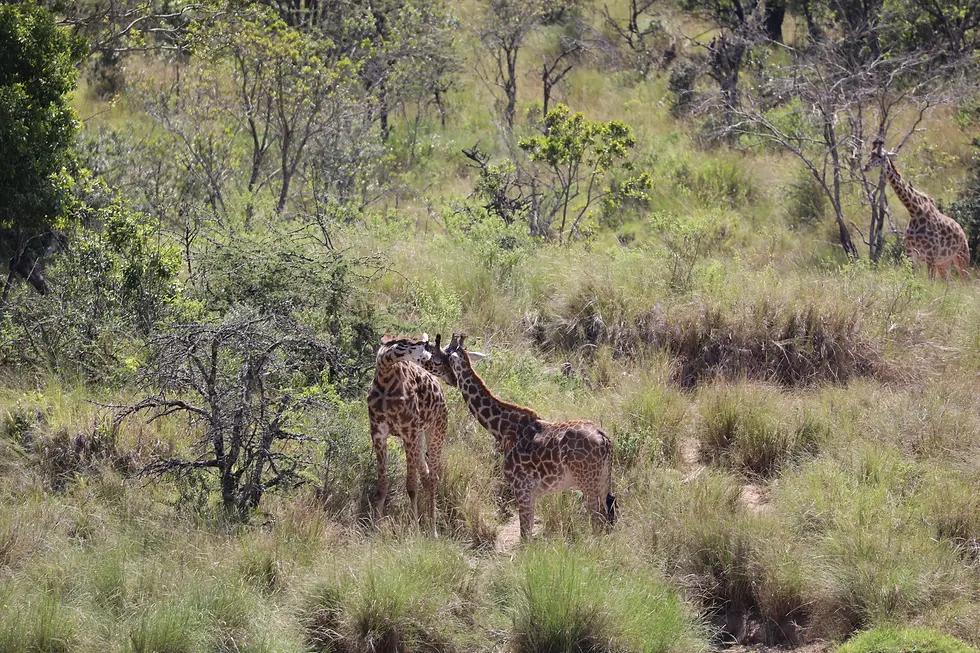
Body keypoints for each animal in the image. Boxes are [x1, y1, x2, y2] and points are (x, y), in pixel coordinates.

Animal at [366, 333, 448, 535]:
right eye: (427, 348)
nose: (448, 372)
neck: (385, 374)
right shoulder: (378, 433)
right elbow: (382, 486)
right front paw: (375, 528)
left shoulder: (408, 432)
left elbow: (411, 486)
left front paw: (416, 531)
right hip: (419, 436)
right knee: (426, 475)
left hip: (436, 430)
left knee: (433, 477)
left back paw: (433, 531)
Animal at [426, 333, 616, 541]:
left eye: (440, 356)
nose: (450, 380)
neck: (502, 429)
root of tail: (604, 440)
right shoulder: (531, 492)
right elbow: (528, 534)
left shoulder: (521, 487)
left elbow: (524, 537)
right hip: (603, 479)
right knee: (607, 514)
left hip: (587, 481)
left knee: (597, 518)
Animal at [865, 138, 970, 280]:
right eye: (870, 154)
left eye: (880, 155)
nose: (866, 167)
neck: (914, 211)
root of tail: (962, 231)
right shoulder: (911, 253)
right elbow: (911, 278)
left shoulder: (931, 255)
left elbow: (930, 281)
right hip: (944, 262)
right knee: (949, 282)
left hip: (962, 256)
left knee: (965, 280)